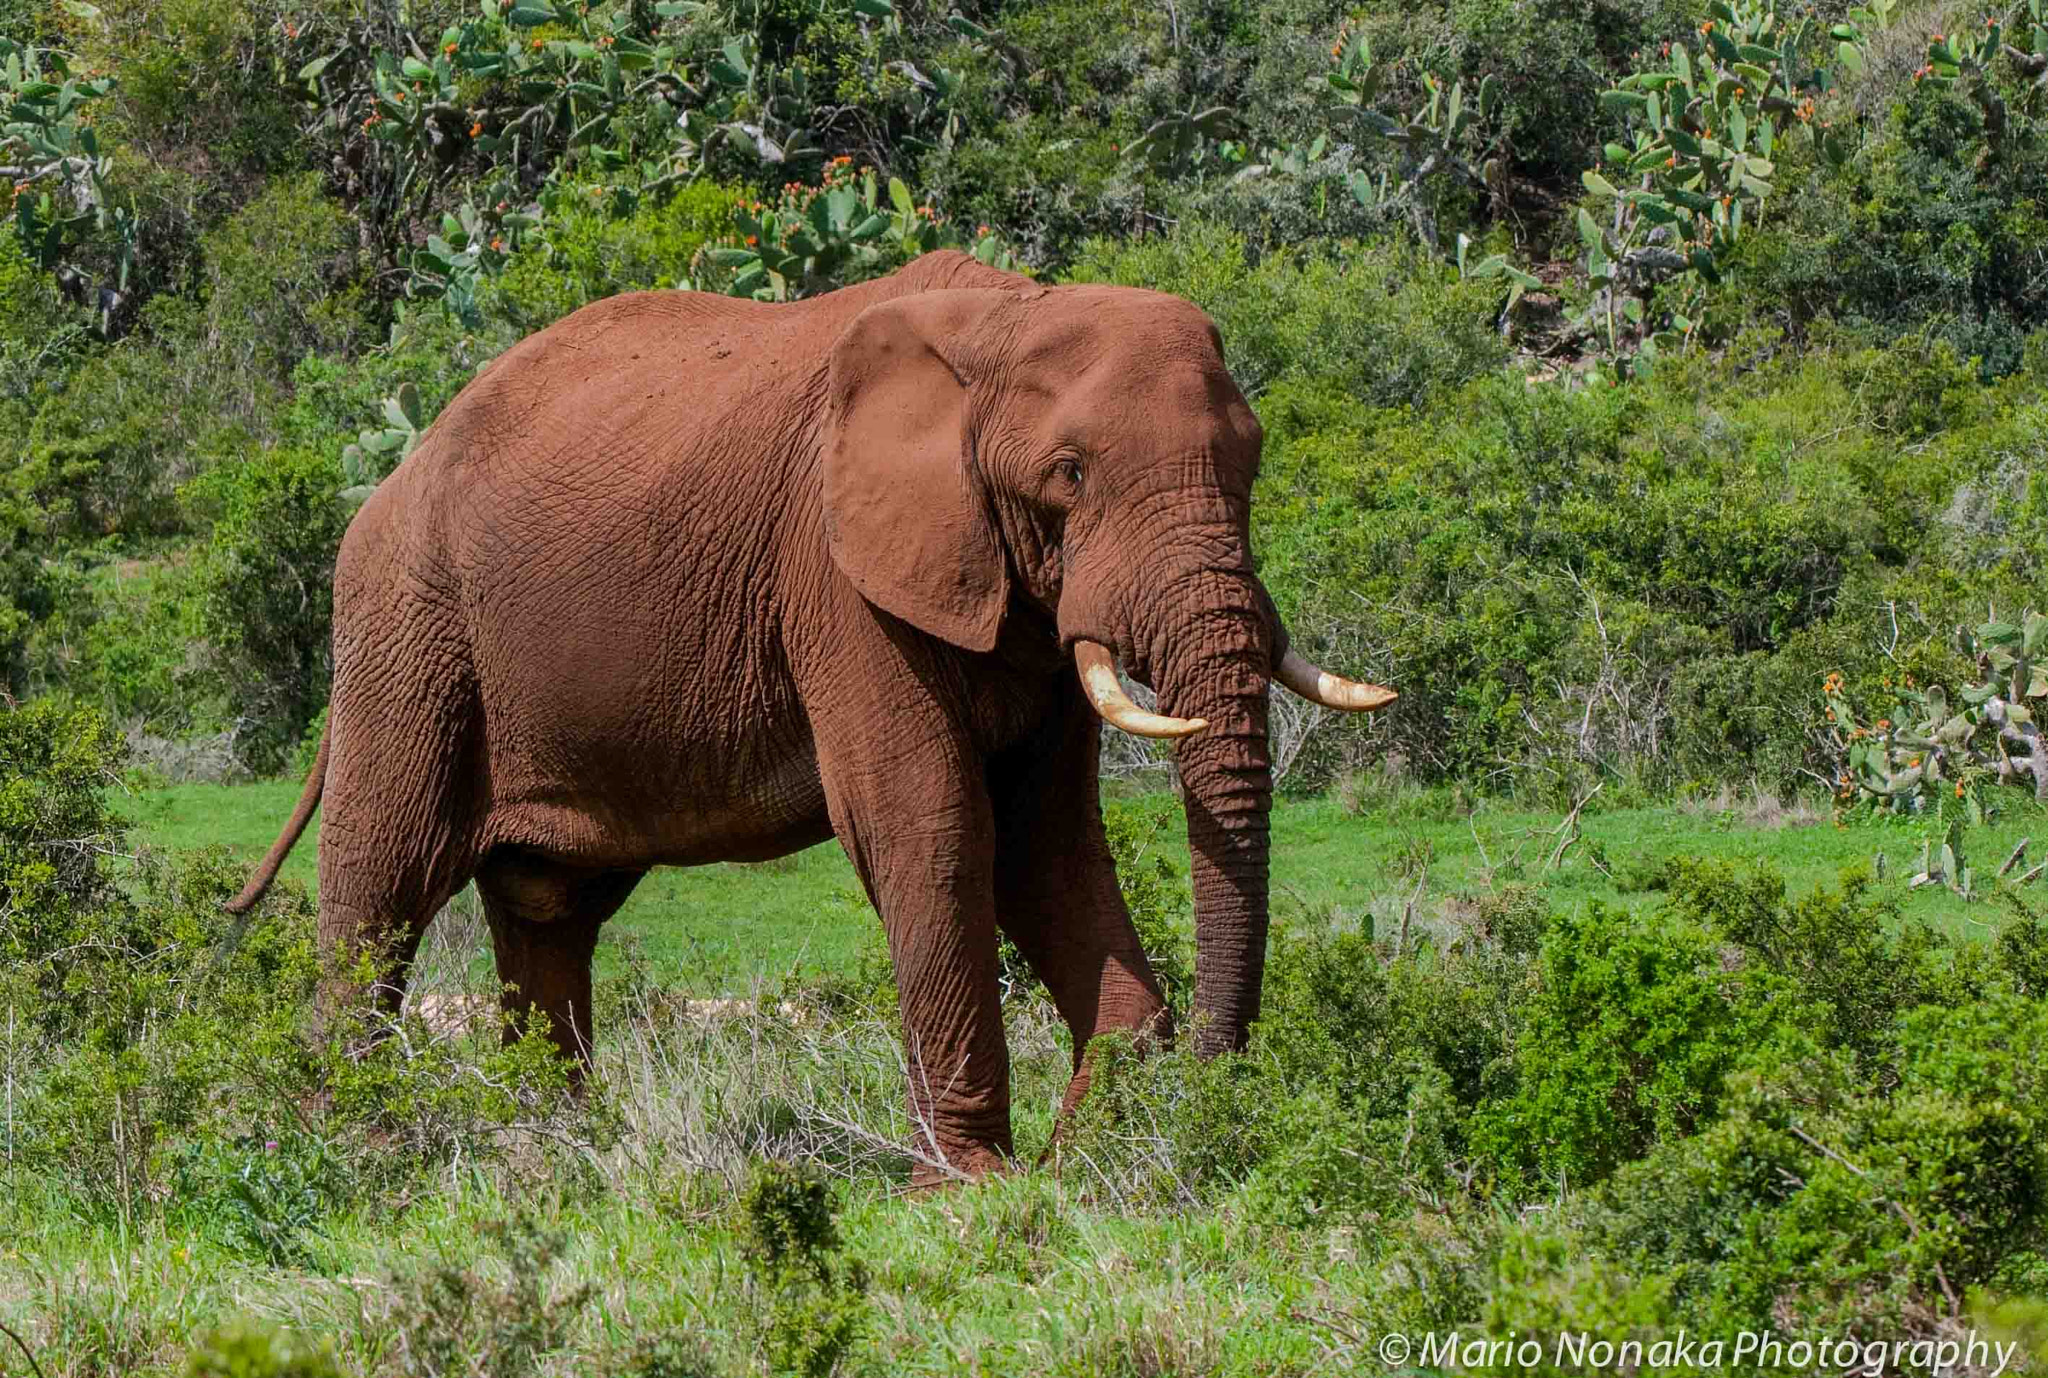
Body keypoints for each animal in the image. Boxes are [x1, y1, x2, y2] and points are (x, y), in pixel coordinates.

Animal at [226, 249, 1394, 1181]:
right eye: (1069, 474)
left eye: (1251, 463)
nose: (1210, 1108)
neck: (1003, 320)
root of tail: (400, 464)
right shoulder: (833, 574)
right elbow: (931, 828)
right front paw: (971, 1190)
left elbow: (1047, 847)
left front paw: (1084, 1161)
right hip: (410, 629)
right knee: (382, 888)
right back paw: (361, 1155)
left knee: (546, 909)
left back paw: (552, 1156)